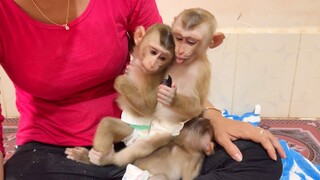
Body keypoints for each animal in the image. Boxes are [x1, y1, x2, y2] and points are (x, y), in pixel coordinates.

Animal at [65, 23, 175, 164]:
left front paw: (120, 80)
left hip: (136, 135)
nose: (153, 64)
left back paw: (102, 159)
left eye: (162, 58)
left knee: (111, 126)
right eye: (153, 52)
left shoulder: (153, 78)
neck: (140, 67)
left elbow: (148, 108)